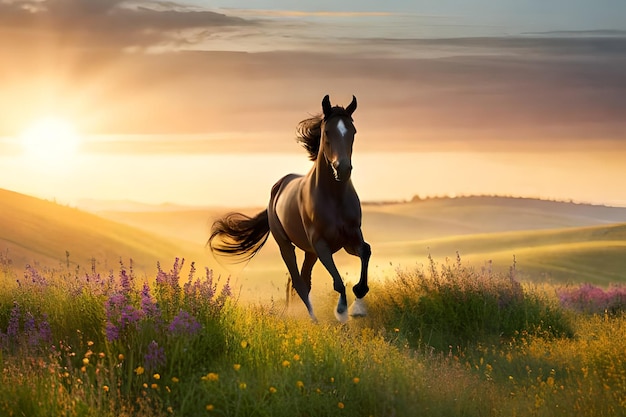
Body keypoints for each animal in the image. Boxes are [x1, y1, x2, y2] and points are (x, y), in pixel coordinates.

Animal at [207, 95, 368, 322]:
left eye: (352, 131)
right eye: (328, 131)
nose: (343, 169)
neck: (334, 198)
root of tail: (278, 186)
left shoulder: (351, 237)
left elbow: (366, 252)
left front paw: (359, 305)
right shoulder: (321, 244)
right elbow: (337, 281)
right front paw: (342, 312)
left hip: (309, 252)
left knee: (302, 281)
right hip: (286, 245)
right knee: (299, 283)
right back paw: (313, 320)